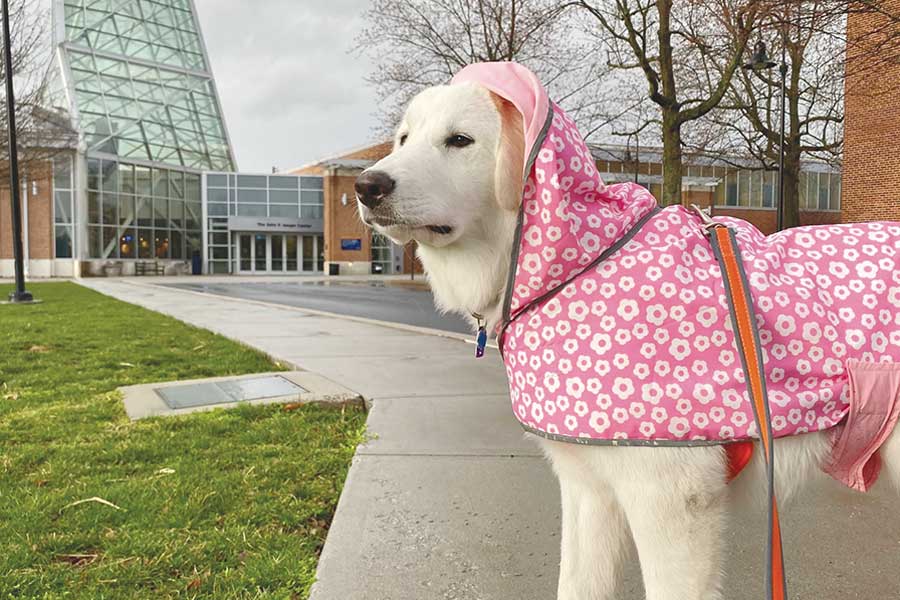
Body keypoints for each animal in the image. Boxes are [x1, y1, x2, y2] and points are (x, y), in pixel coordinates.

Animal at [354, 81, 900, 600]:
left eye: (459, 140)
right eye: (403, 139)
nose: (366, 185)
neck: (580, 266)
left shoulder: (671, 498)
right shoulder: (588, 490)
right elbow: (576, 585)